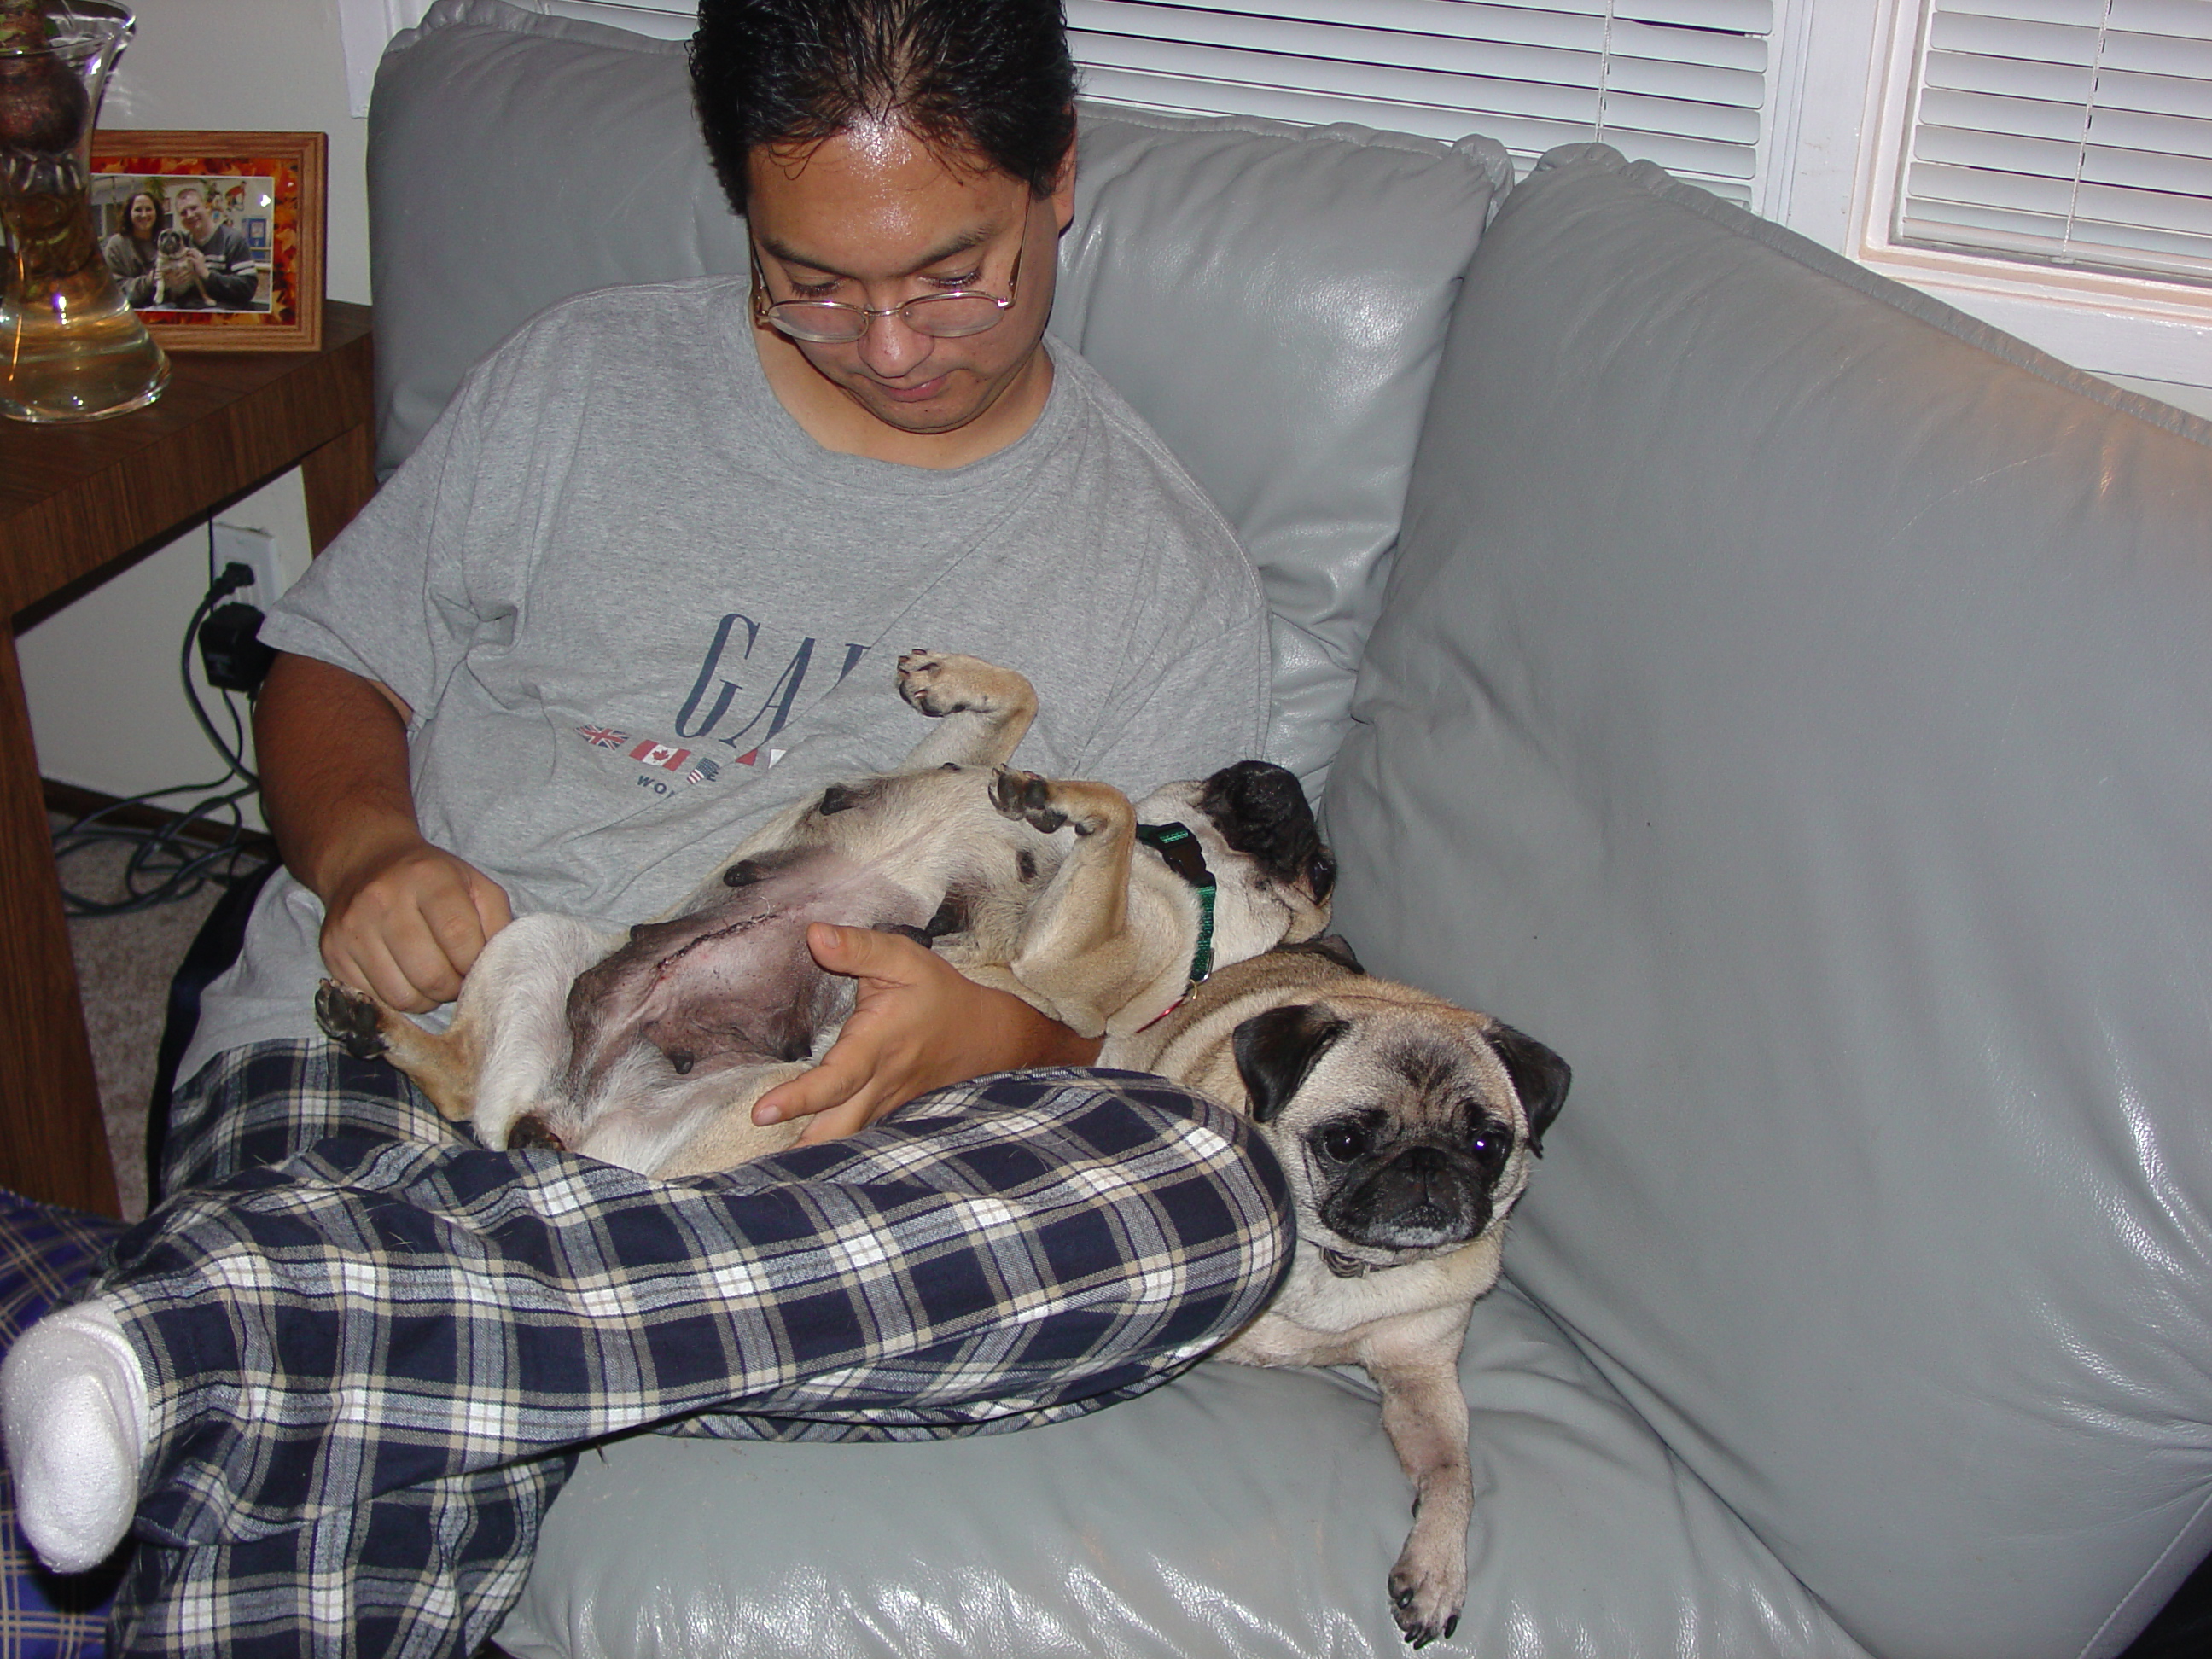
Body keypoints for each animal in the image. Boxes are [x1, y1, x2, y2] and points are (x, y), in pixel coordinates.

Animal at [317, 651, 1336, 1176]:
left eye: (1322, 871)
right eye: (1240, 776)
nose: (1286, 788)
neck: (1183, 867)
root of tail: (561, 1121)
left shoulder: (1067, 968)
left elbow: (1108, 809)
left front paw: (1059, 796)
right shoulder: (964, 755)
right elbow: (1021, 703)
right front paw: (952, 681)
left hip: (756, 1114)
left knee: (471, 1100)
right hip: (536, 945)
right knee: (459, 1079)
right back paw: (370, 1021)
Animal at [1101, 939, 1571, 1649]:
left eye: (1486, 1144)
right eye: (1345, 1141)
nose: (1425, 1163)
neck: (1348, 1265)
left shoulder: (1422, 1379)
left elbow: (1454, 1473)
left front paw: (1438, 1569)